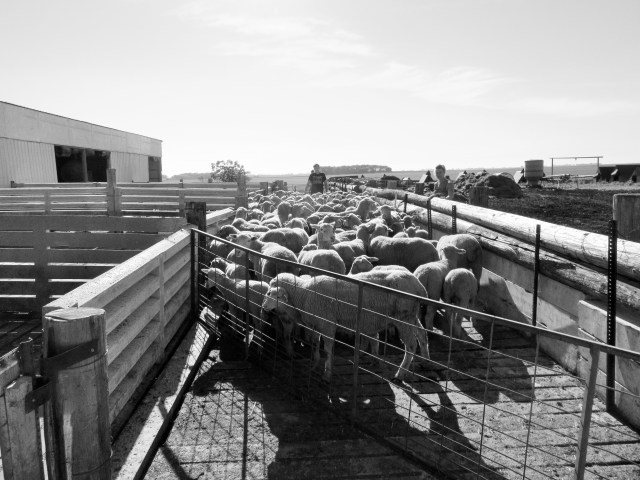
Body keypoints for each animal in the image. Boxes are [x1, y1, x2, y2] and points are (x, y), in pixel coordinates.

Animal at [262, 272, 429, 382]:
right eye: (268, 292)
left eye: (274, 294)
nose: (263, 307)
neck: (303, 293)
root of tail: (420, 287)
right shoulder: (315, 325)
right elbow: (315, 344)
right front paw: (314, 365)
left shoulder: (328, 324)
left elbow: (328, 349)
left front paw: (327, 373)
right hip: (412, 316)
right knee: (422, 334)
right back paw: (425, 361)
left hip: (403, 318)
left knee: (411, 345)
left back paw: (400, 374)